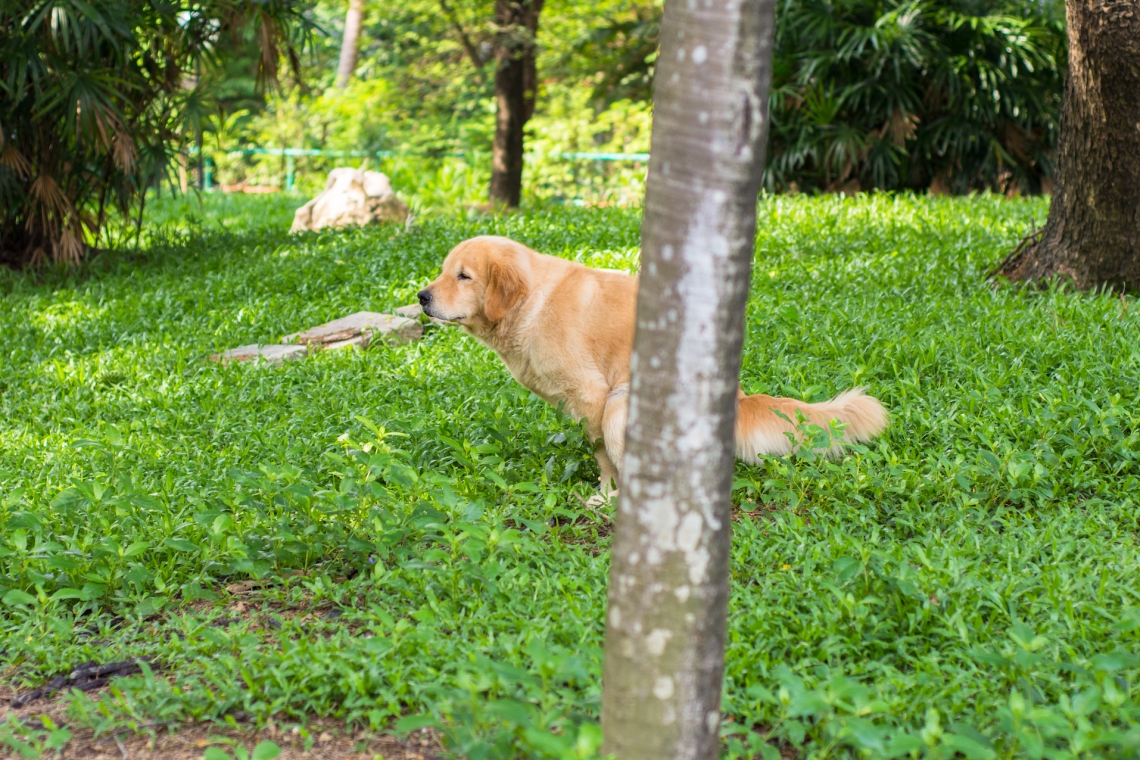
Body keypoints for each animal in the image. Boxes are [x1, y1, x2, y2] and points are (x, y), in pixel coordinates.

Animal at [419, 238, 889, 499]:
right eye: (443, 272)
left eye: (464, 276)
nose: (422, 297)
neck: (531, 303)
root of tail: (737, 400)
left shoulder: (594, 394)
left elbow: (602, 455)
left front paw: (605, 492)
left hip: (622, 403)